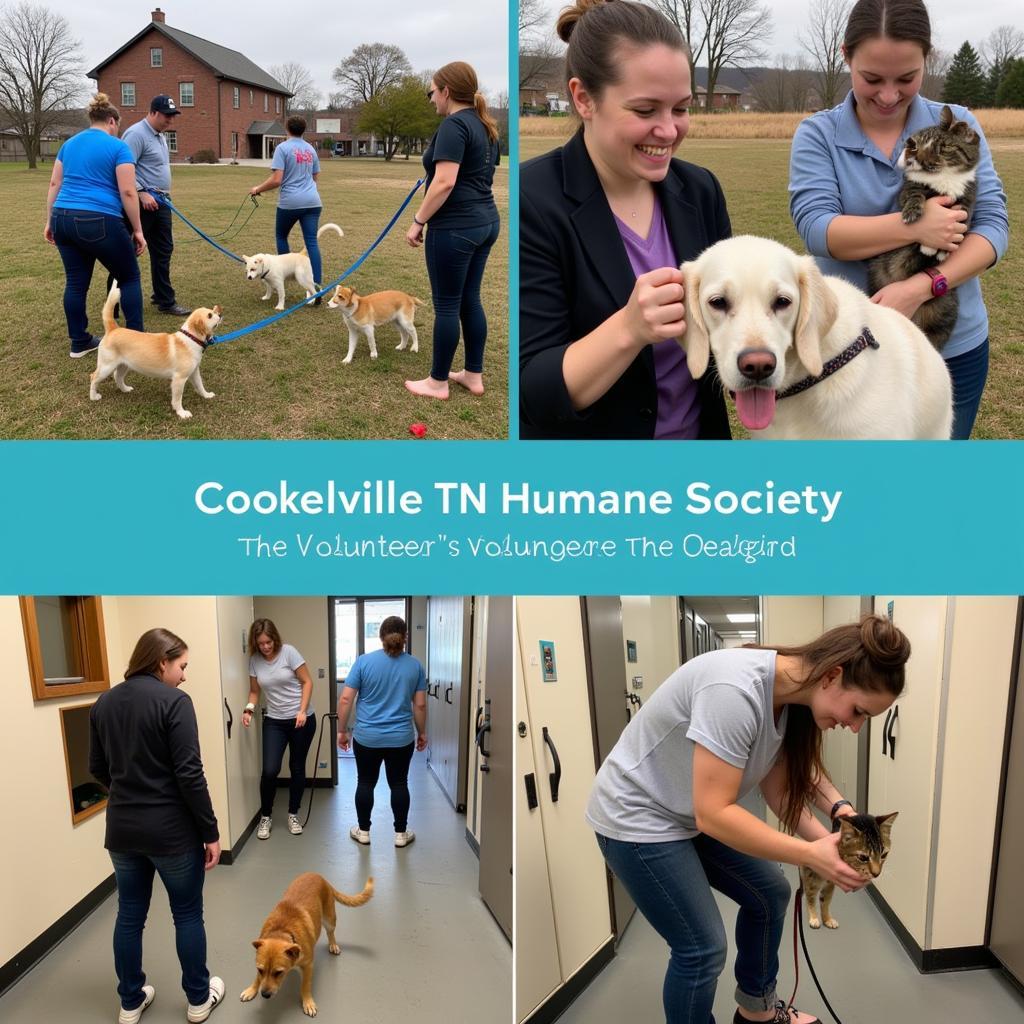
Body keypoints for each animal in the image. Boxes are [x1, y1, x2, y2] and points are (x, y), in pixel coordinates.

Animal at [90, 282, 224, 417]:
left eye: (212, 311)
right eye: (210, 315)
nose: (220, 314)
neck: (190, 338)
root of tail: (113, 328)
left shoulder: (194, 372)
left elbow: (200, 385)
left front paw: (207, 395)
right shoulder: (179, 379)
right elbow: (177, 399)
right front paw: (181, 413)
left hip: (124, 365)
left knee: (117, 376)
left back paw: (125, 389)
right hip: (106, 367)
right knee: (93, 377)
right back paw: (94, 397)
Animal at [238, 872, 372, 1015]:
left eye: (278, 972)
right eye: (260, 970)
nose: (264, 994)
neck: (282, 931)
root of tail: (320, 877)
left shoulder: (308, 966)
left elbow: (305, 986)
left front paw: (308, 1002)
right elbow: (257, 978)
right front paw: (251, 989)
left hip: (329, 919)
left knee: (330, 933)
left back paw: (333, 944)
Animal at [868, 104, 978, 350]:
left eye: (943, 147)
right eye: (916, 146)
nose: (921, 160)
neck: (944, 179)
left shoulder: (967, 199)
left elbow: (964, 219)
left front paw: (943, 249)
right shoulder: (911, 188)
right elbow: (914, 195)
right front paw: (913, 215)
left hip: (942, 317)